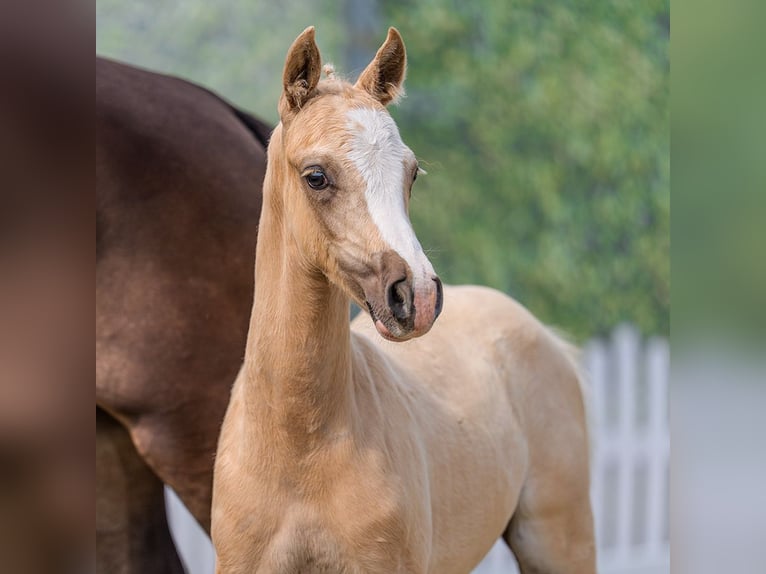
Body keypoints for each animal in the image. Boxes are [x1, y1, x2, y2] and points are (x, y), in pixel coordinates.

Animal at [211, 27, 596, 574]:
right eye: (316, 176)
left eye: (411, 173)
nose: (418, 295)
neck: (298, 447)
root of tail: (543, 336)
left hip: (558, 541)